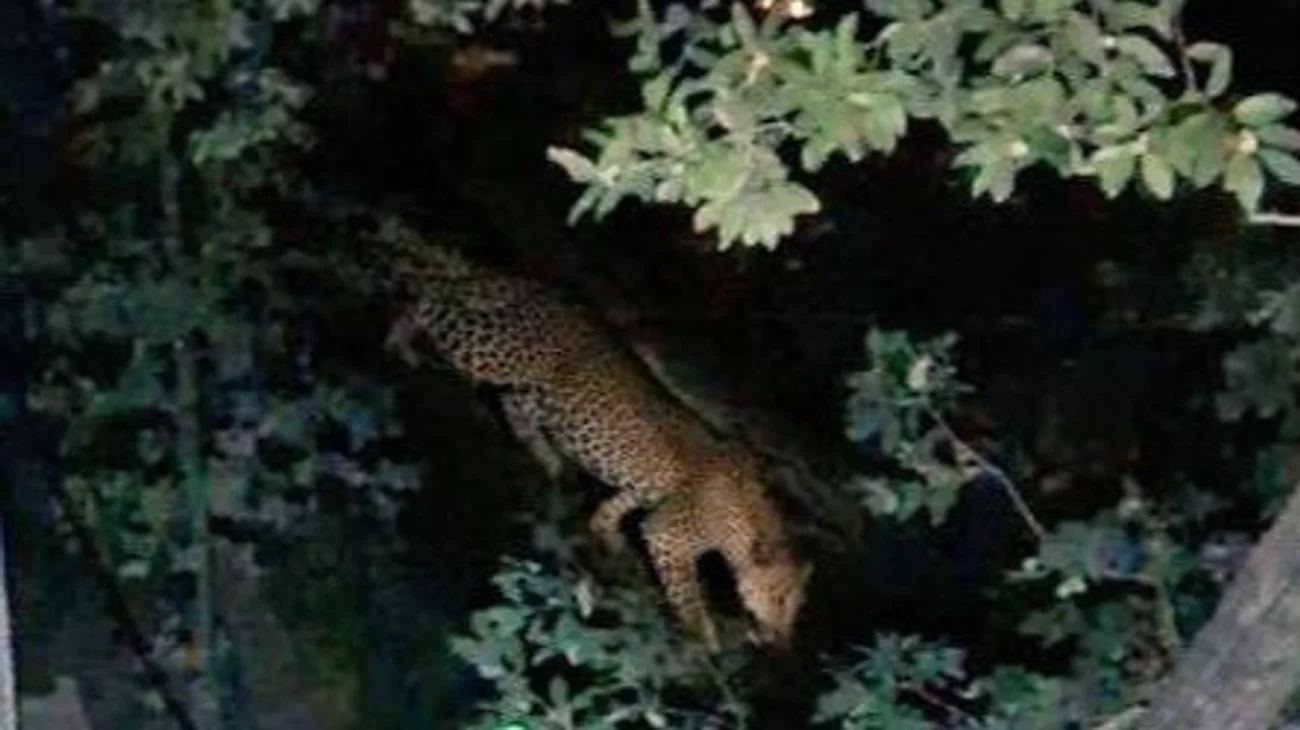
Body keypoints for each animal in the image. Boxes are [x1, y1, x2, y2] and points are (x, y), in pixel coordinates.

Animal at [379, 233, 811, 651]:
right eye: (778, 598)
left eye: (794, 610)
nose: (784, 642)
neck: (744, 520)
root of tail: (550, 291)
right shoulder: (670, 535)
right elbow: (689, 594)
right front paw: (705, 637)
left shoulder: (645, 494)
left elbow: (619, 504)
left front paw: (604, 529)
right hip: (498, 352)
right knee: (432, 302)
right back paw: (400, 341)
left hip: (546, 394)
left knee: (512, 404)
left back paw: (548, 460)